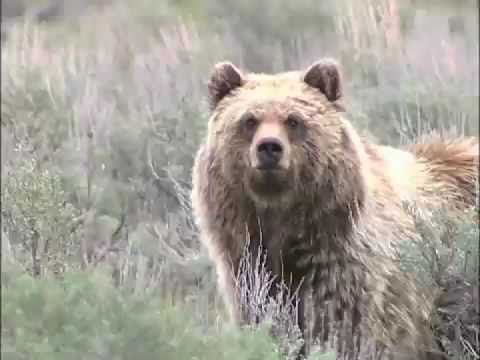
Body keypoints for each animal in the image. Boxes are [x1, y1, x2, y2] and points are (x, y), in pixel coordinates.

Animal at [191, 57, 480, 358]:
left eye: (293, 120)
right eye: (249, 120)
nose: (269, 147)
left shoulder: (350, 279)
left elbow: (346, 330)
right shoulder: (250, 271)